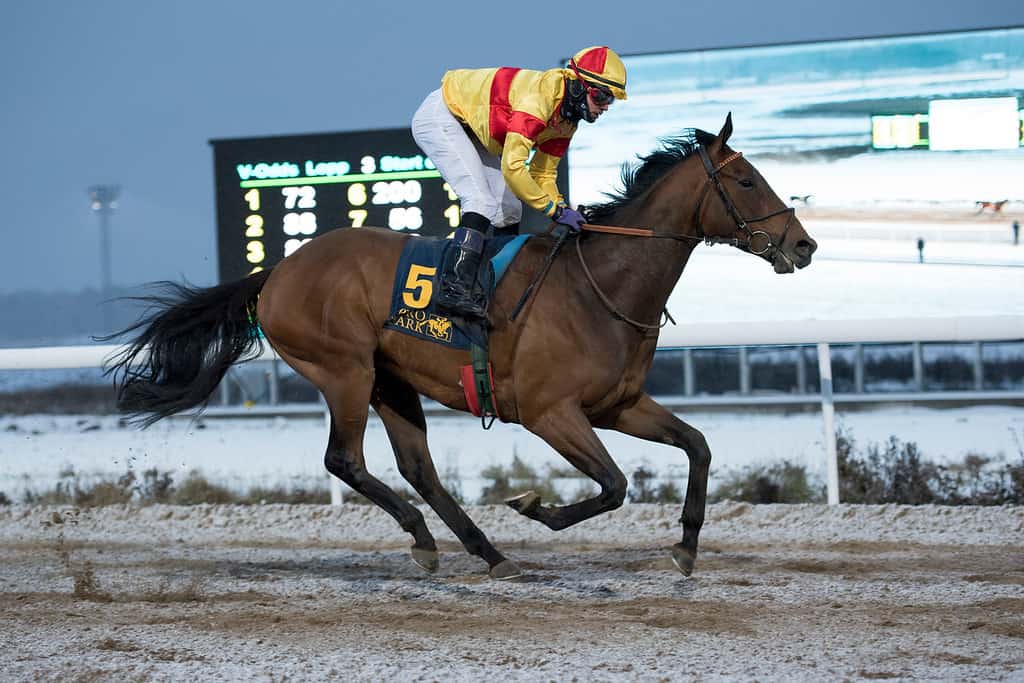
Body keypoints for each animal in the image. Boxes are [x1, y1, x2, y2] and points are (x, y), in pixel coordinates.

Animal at [105, 114, 815, 581]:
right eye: (747, 182)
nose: (803, 245)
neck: (601, 284)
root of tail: (277, 270)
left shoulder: (619, 405)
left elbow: (698, 445)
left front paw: (687, 546)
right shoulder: (551, 413)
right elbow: (614, 485)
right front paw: (534, 507)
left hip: (391, 381)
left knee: (419, 469)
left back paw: (484, 551)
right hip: (344, 371)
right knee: (345, 459)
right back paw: (428, 538)